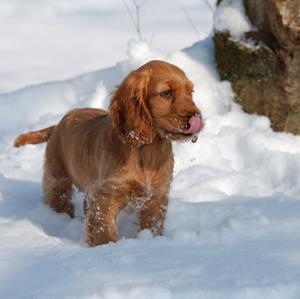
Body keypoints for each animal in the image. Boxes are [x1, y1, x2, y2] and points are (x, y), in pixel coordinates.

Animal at [15, 59, 205, 247]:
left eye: (191, 92)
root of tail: (56, 126)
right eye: (166, 93)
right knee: (58, 199)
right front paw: (105, 248)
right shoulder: (107, 195)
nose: (197, 118)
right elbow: (103, 229)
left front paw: (152, 242)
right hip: (57, 176)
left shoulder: (157, 196)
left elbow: (152, 225)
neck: (147, 150)